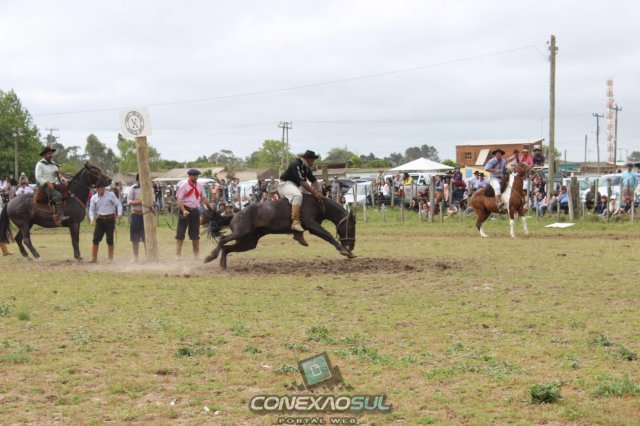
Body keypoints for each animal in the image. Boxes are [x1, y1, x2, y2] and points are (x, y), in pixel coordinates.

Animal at [201, 194, 356, 270]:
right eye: (351, 227)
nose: (352, 245)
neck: (318, 203)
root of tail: (235, 215)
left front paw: (348, 252)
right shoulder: (312, 224)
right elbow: (328, 235)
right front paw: (345, 251)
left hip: (248, 242)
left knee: (227, 248)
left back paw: (223, 266)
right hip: (241, 233)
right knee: (223, 241)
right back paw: (209, 257)